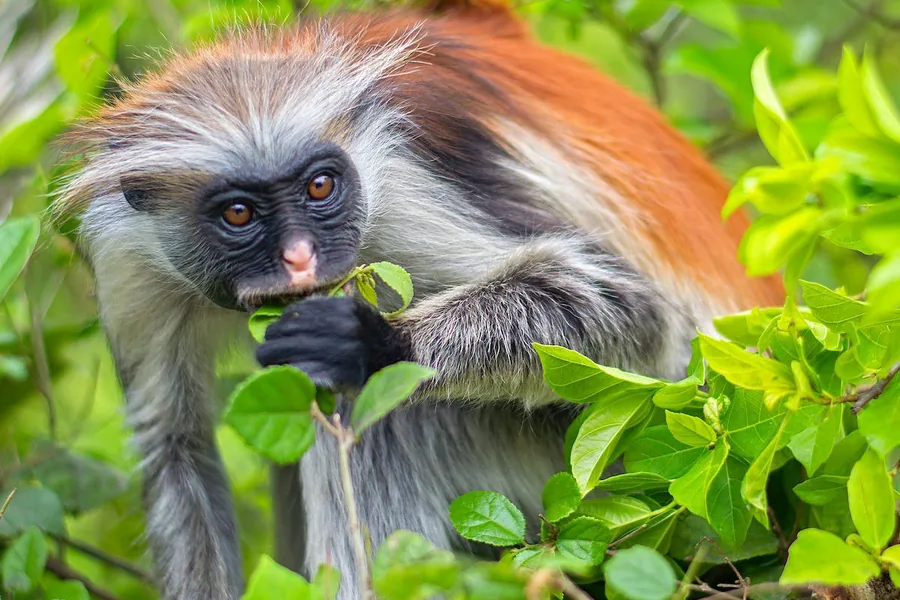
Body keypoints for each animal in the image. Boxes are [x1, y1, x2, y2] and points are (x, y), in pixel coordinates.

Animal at [56, 2, 783, 598]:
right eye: (238, 214)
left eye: (320, 187)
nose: (301, 259)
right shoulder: (128, 252)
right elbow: (176, 448)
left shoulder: (400, 183)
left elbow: (636, 308)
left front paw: (373, 341)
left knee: (381, 417)